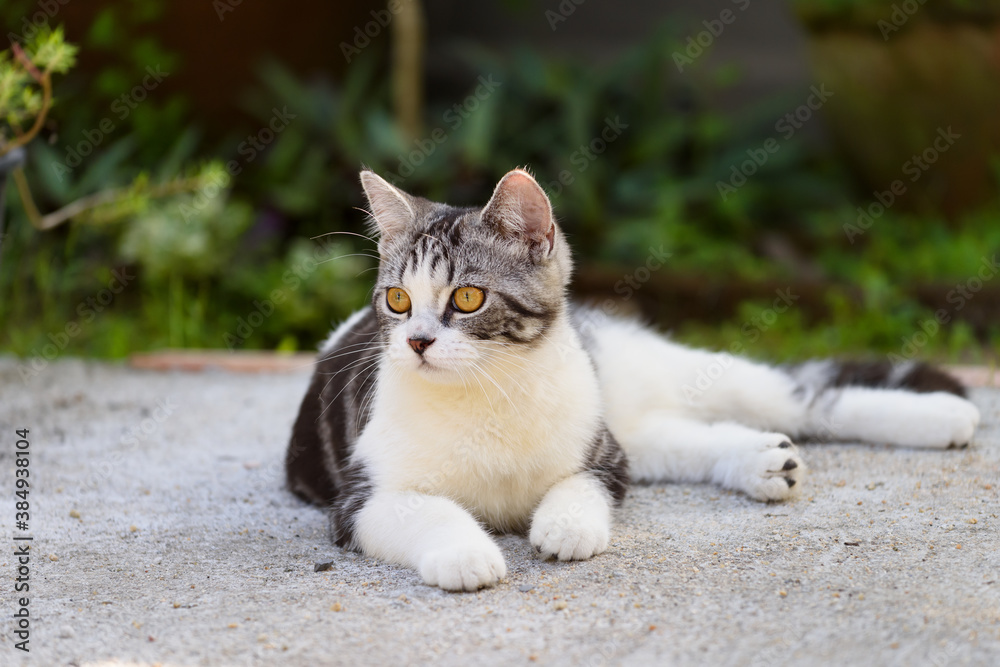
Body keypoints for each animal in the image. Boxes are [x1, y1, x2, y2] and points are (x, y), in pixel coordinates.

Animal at [286, 170, 980, 592]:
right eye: (398, 300)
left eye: (468, 297)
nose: (417, 342)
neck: (489, 393)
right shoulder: (358, 499)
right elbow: (422, 509)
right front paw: (465, 551)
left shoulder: (604, 456)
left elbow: (581, 483)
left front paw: (566, 525)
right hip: (636, 424)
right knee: (688, 438)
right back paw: (762, 460)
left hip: (657, 379)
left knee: (805, 399)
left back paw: (942, 416)